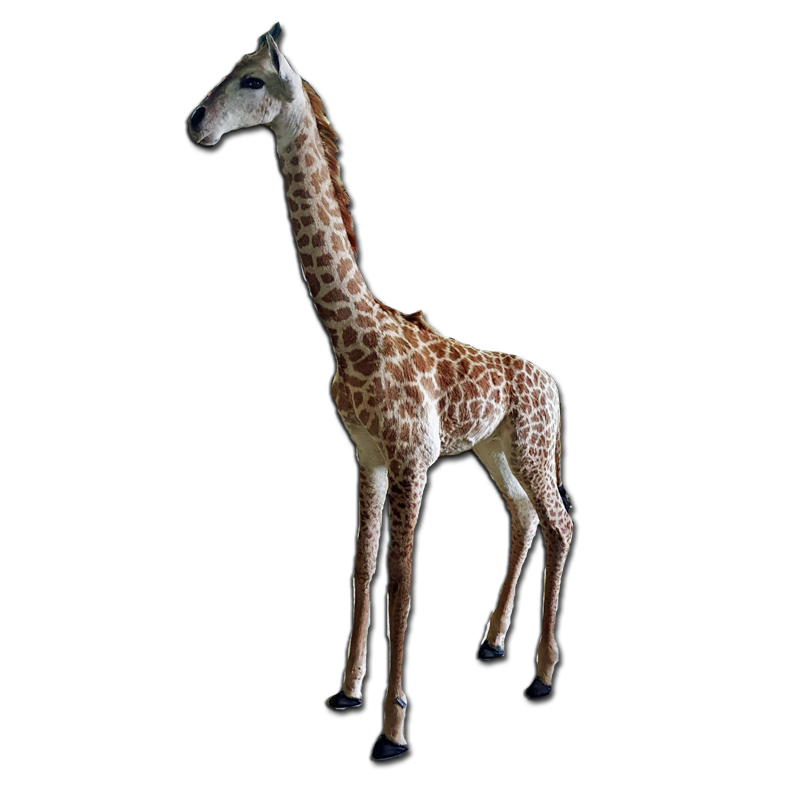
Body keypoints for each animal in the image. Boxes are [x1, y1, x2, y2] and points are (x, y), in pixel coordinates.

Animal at [188, 24, 574, 759]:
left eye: (251, 79)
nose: (197, 122)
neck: (351, 333)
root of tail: (549, 380)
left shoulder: (413, 459)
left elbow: (400, 580)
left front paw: (393, 726)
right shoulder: (366, 455)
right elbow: (361, 565)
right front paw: (346, 694)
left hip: (535, 445)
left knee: (561, 522)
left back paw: (541, 675)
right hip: (496, 450)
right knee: (523, 515)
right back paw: (490, 644)